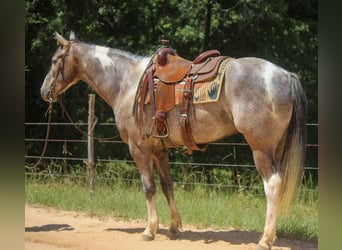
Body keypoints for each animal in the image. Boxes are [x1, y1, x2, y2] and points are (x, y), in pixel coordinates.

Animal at [40, 31, 308, 250]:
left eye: (54, 61)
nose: (43, 91)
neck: (128, 81)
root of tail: (286, 75)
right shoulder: (160, 150)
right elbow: (167, 185)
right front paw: (174, 227)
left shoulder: (139, 149)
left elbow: (148, 187)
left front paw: (149, 230)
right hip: (276, 148)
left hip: (261, 148)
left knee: (272, 185)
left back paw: (265, 239)